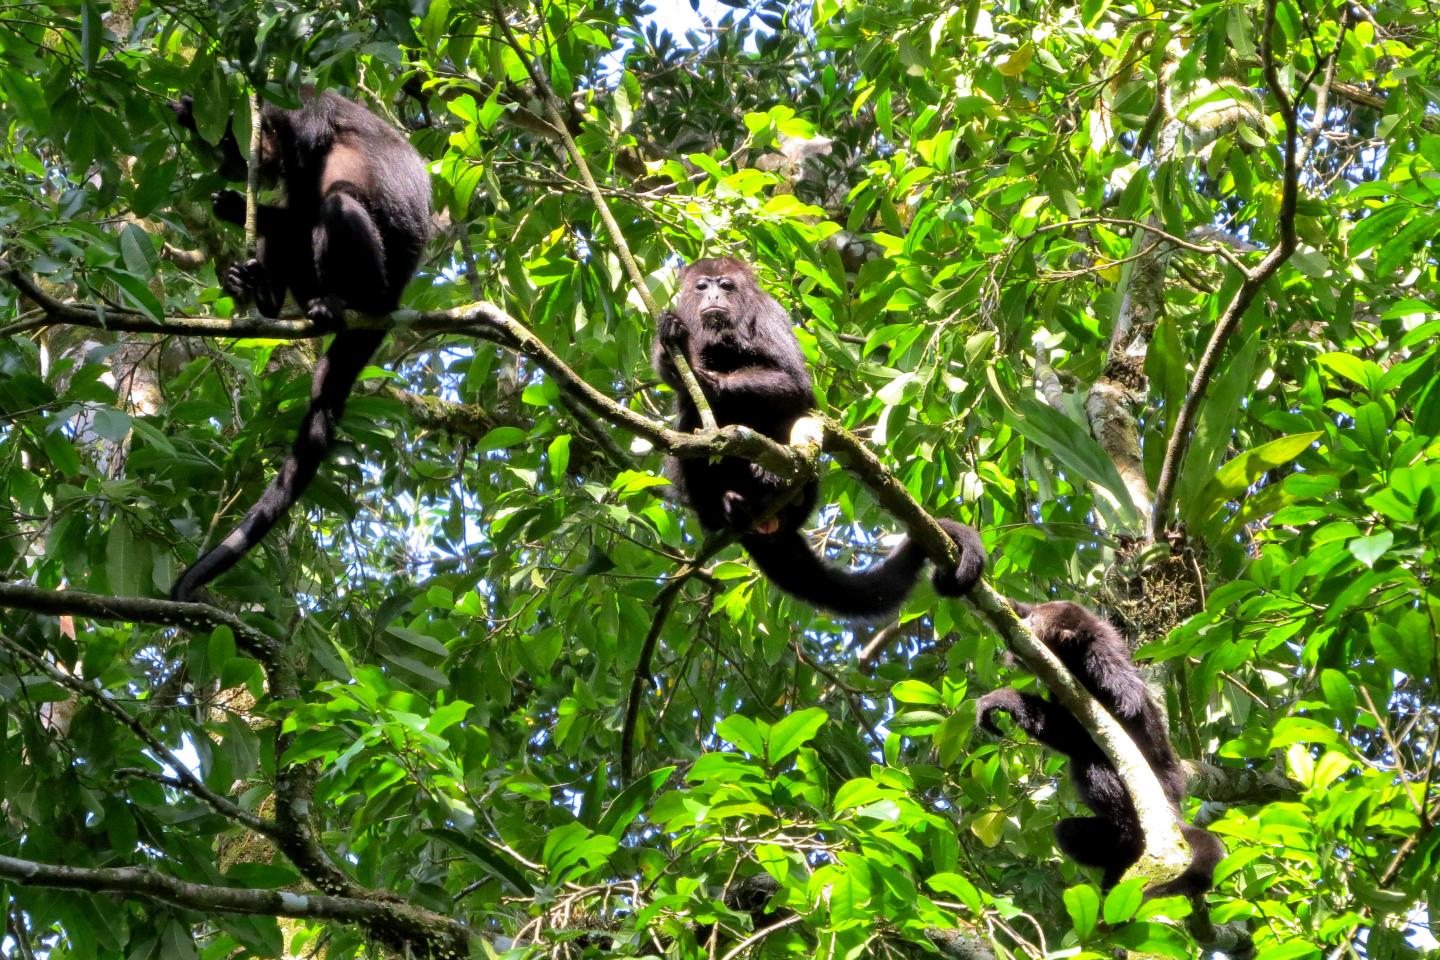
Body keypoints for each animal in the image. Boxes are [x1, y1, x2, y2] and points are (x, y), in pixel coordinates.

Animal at [167, 89, 426, 601]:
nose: (253, 157)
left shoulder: (308, 111)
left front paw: (234, 194)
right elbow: (291, 199)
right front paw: (196, 119)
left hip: (380, 285)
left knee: (336, 206)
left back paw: (338, 301)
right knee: (296, 226)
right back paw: (263, 294)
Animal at [656, 254, 984, 616]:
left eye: (726, 285)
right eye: (702, 287)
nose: (714, 296)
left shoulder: (768, 313)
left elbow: (794, 384)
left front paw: (704, 377)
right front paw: (674, 353)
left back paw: (779, 483)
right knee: (688, 429)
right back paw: (726, 506)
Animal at [956, 601, 1226, 903]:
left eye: (1037, 621)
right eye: (1031, 615)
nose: (1024, 623)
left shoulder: (1102, 663)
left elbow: (1119, 711)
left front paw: (1004, 697)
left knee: (1095, 764)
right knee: (1067, 831)